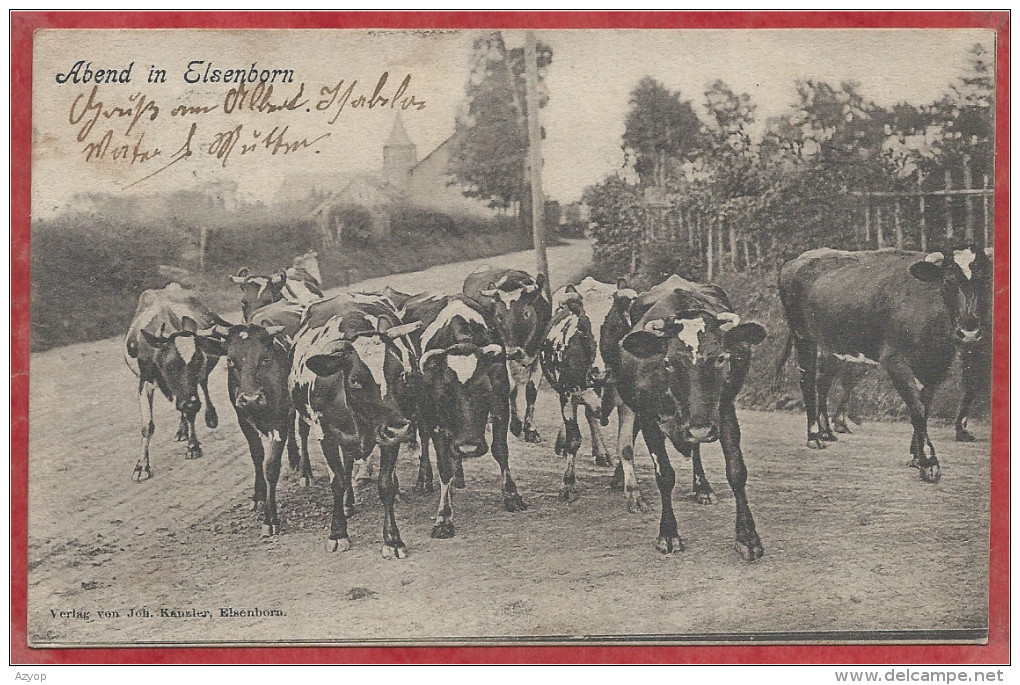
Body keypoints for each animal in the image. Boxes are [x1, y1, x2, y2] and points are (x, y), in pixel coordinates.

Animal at [124, 283, 226, 481]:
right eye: (170, 366)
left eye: (198, 361)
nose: (192, 403)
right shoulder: (144, 381)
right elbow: (148, 425)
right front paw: (142, 466)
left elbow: (191, 411)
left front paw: (193, 446)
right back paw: (182, 430)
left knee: (203, 387)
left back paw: (210, 417)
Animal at [287, 293, 418, 554]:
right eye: (356, 381)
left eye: (399, 373)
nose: (399, 428)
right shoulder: (326, 435)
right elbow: (336, 482)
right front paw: (338, 532)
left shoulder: (389, 437)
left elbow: (385, 484)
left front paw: (392, 539)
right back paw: (346, 503)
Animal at [401, 293, 526, 542]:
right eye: (445, 393)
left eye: (485, 391)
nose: (469, 447)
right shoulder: (435, 418)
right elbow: (443, 467)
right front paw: (443, 518)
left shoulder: (500, 407)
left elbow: (500, 451)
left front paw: (512, 495)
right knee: (425, 439)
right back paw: (424, 480)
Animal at [467, 267, 554, 444]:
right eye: (499, 317)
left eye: (526, 314)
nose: (513, 352)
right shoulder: (503, 354)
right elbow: (511, 389)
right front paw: (515, 425)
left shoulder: (537, 355)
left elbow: (531, 391)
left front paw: (530, 430)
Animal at [612, 281, 767, 558]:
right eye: (668, 362)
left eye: (721, 358)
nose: (701, 430)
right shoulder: (648, 416)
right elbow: (665, 475)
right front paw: (668, 533)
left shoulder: (724, 411)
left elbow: (736, 471)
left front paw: (748, 537)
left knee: (695, 449)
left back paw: (702, 488)